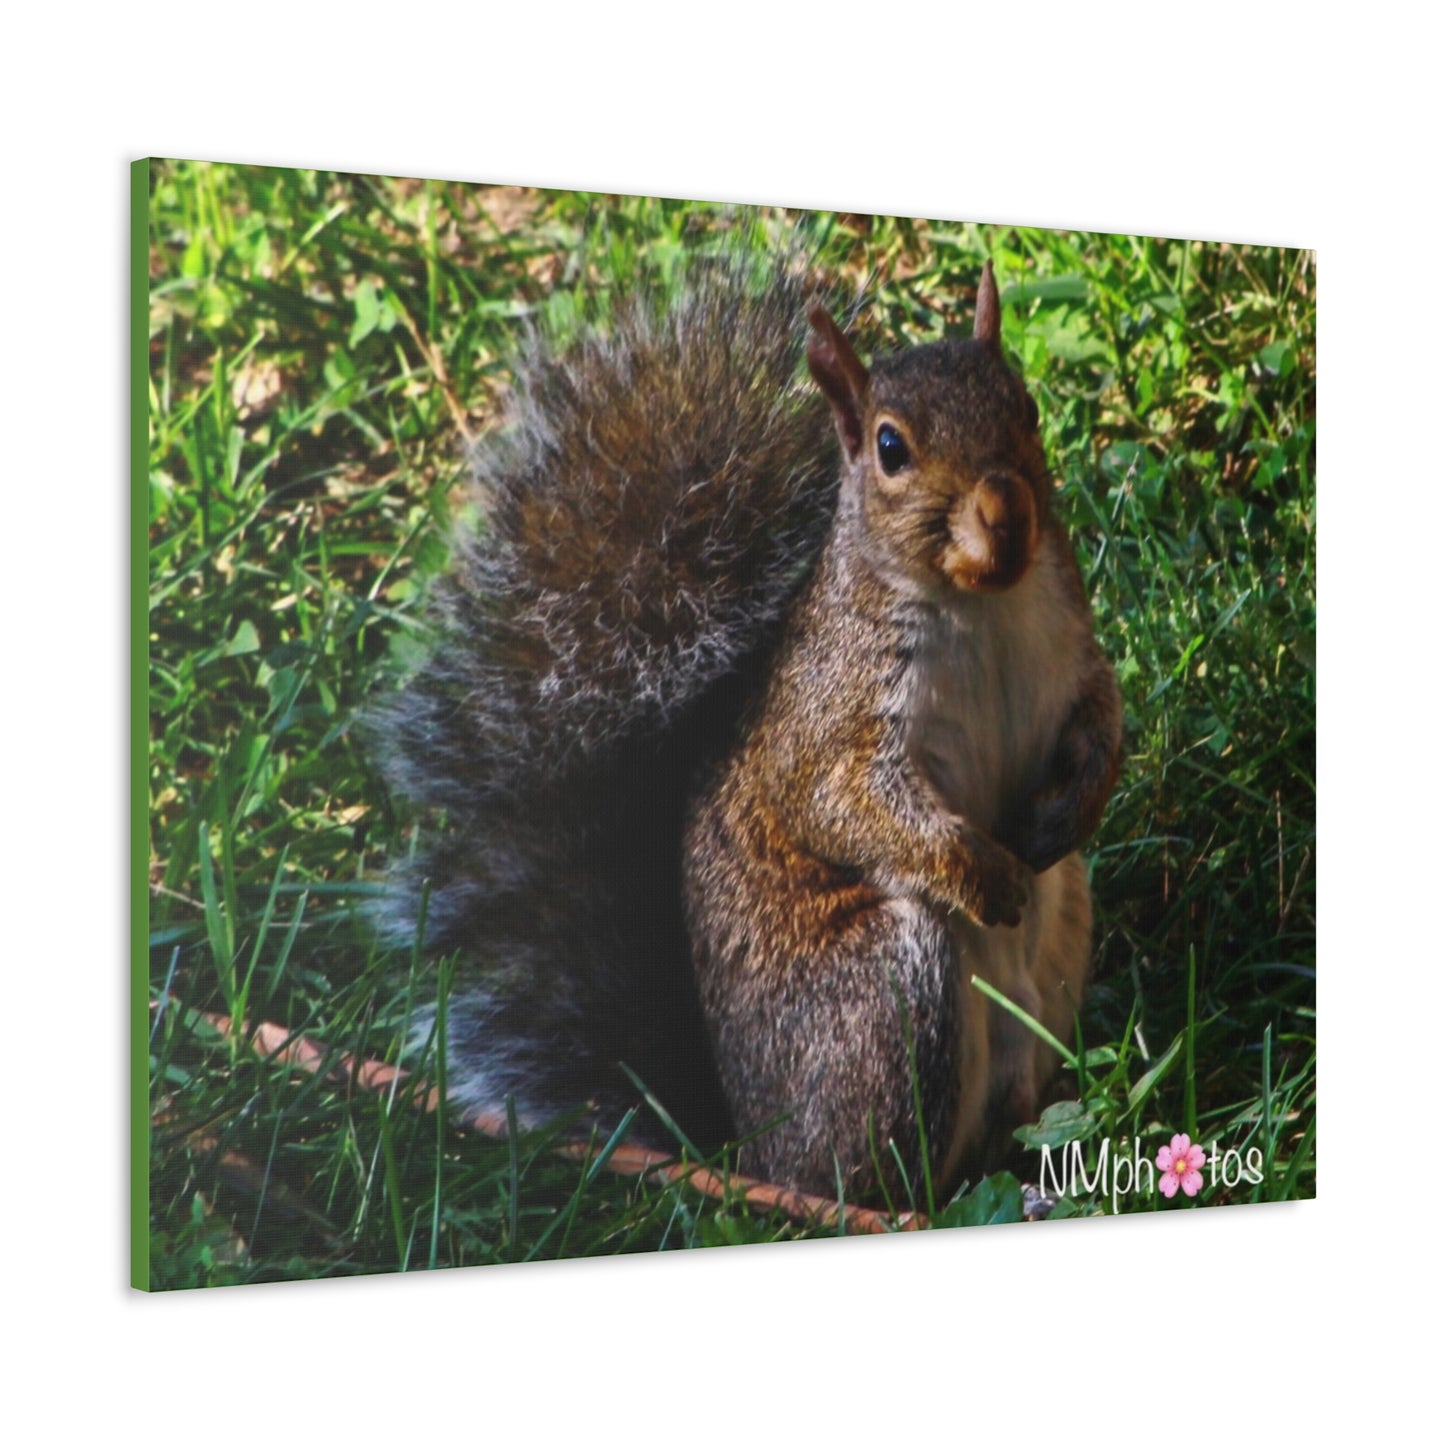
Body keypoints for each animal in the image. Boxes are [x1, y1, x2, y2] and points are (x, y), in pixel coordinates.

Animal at [371, 252, 1121, 1202]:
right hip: (881, 993)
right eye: (890, 448)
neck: (980, 603)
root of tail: (748, 1153)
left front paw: (1071, 809)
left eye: (1024, 405)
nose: (1007, 511)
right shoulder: (829, 720)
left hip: (1060, 938)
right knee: (878, 1178)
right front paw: (982, 875)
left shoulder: (1071, 652)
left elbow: (1102, 720)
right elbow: (845, 807)